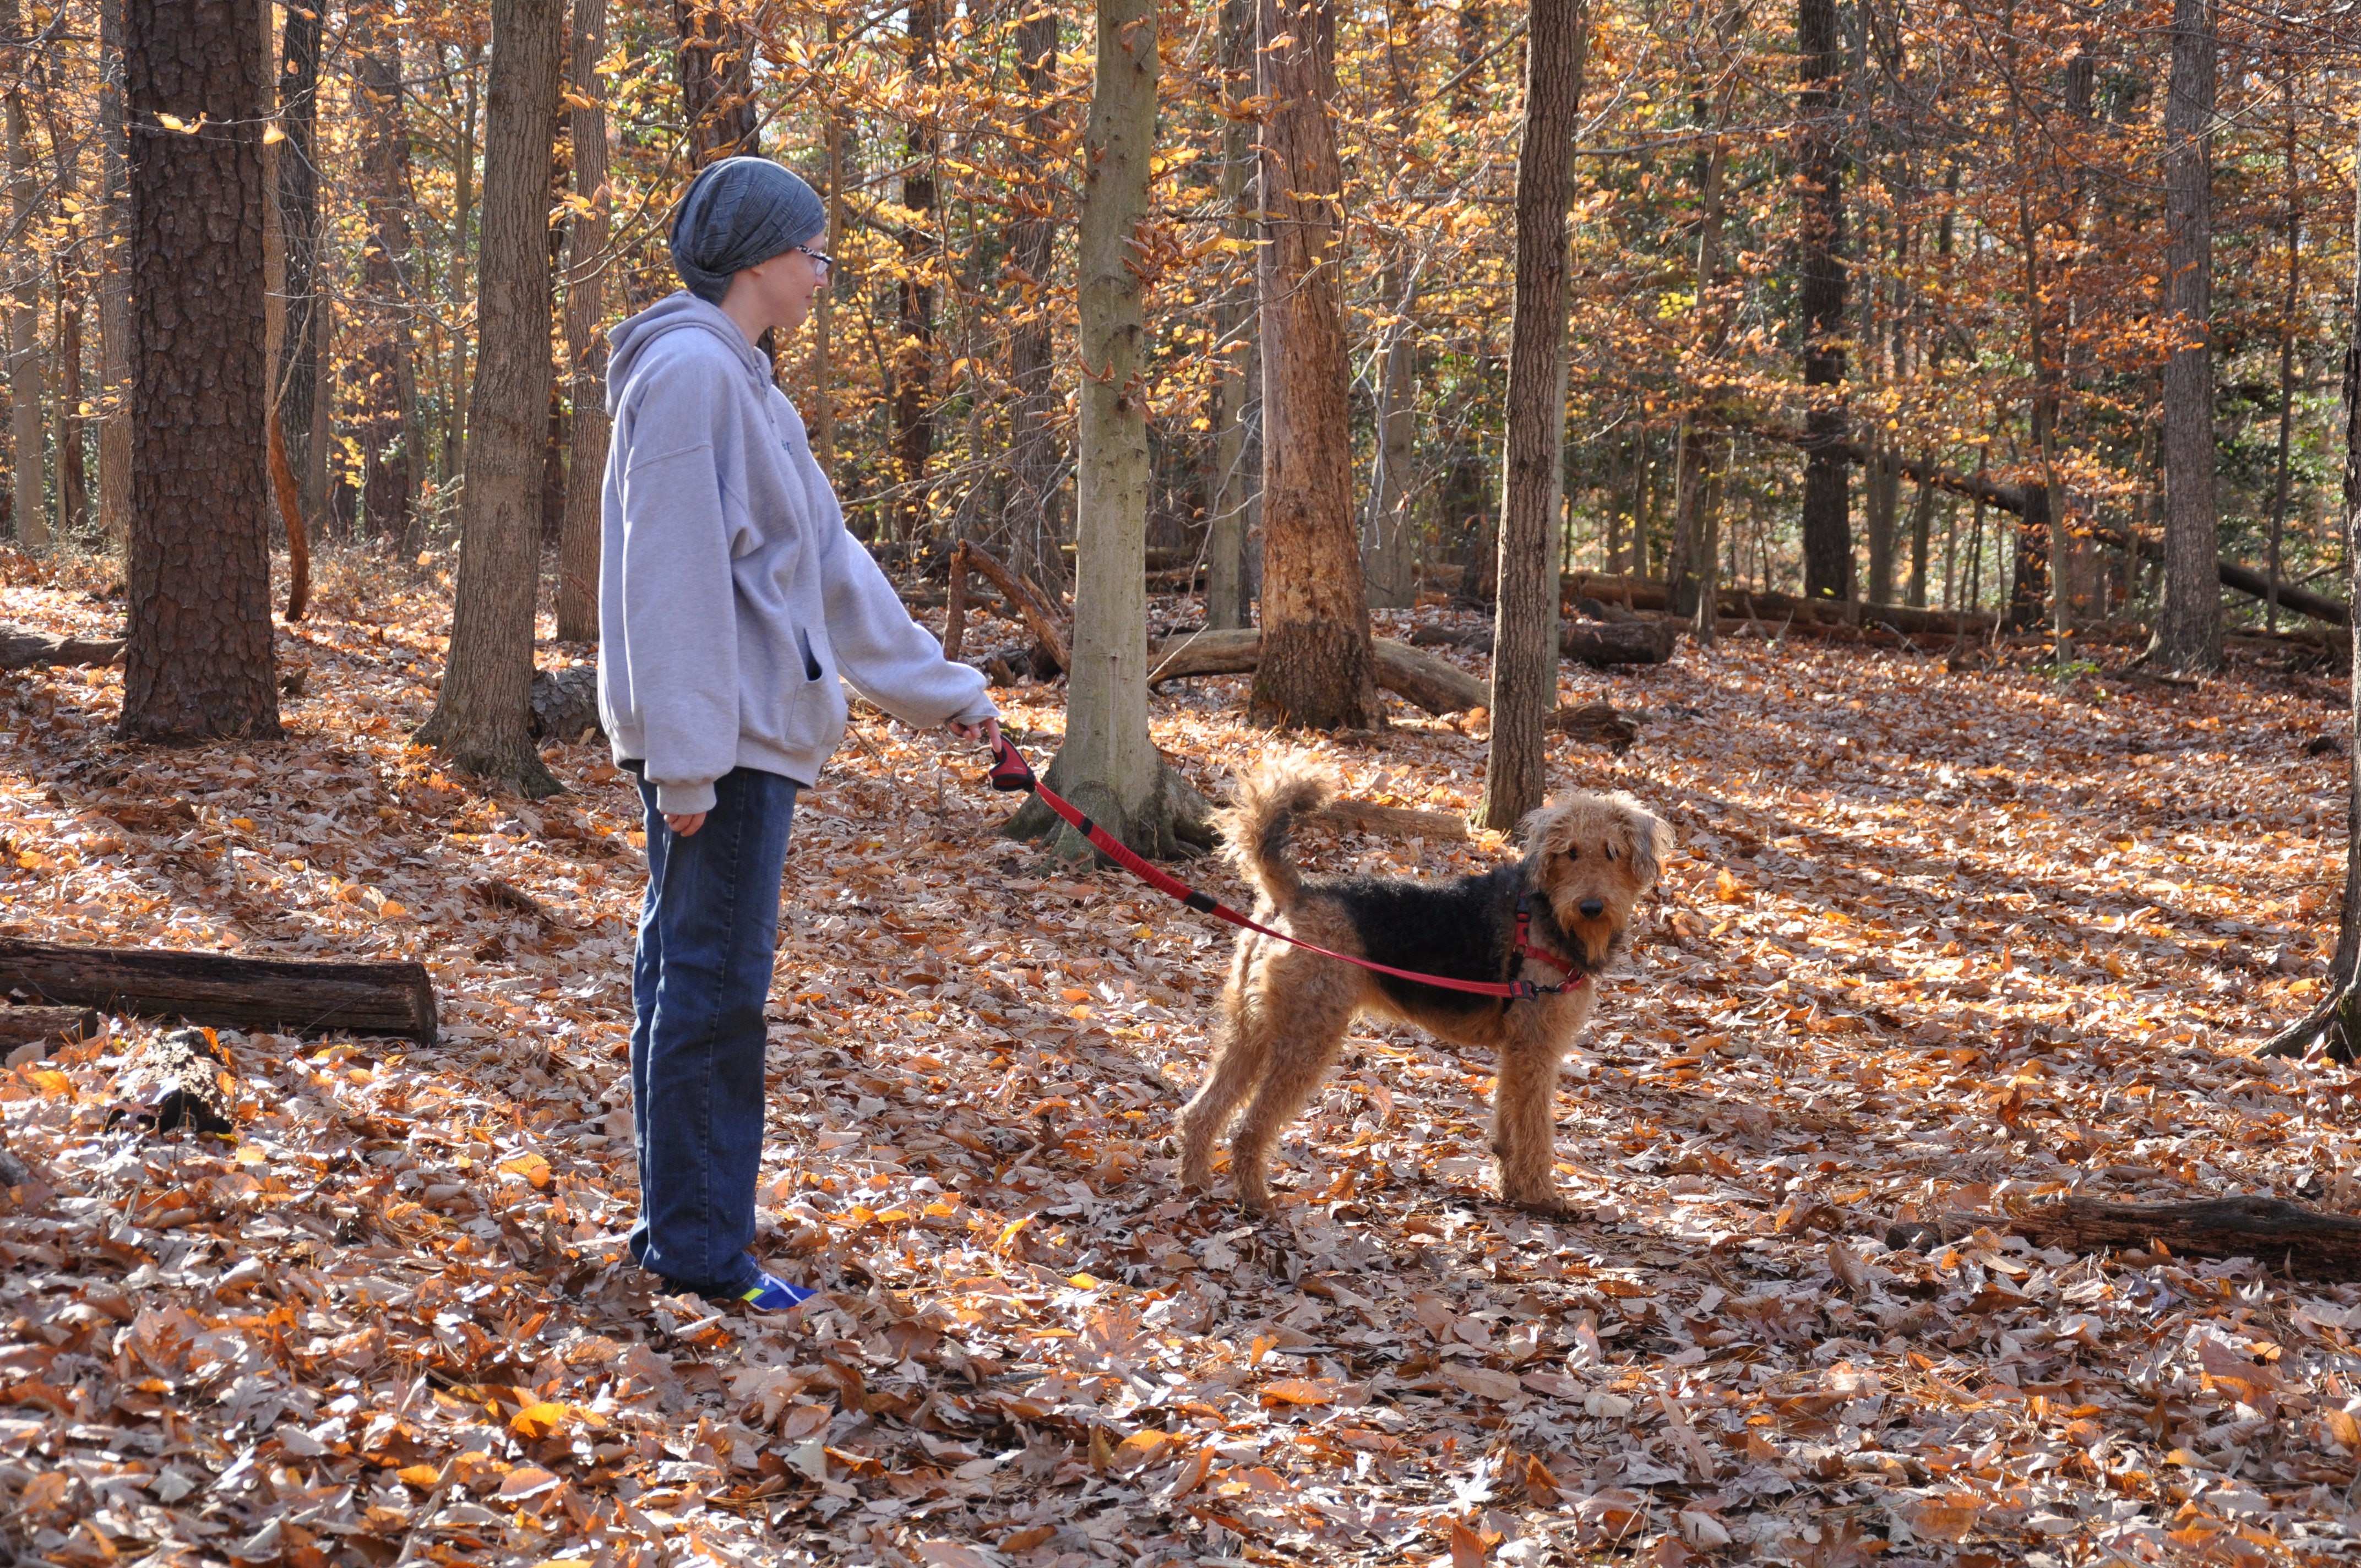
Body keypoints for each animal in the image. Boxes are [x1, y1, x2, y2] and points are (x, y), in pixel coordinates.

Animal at [1176, 757, 1671, 1212]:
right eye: (1570, 852)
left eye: (1612, 852)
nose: (1591, 908)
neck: (1547, 912)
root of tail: (1296, 893)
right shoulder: (1537, 1047)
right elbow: (1536, 1129)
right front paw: (1541, 1196)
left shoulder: (1519, 1049)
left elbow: (1508, 1123)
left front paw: (1511, 1187)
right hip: (1307, 1035)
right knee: (1249, 1127)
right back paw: (1258, 1200)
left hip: (1252, 1027)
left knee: (1202, 1111)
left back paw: (1196, 1183)